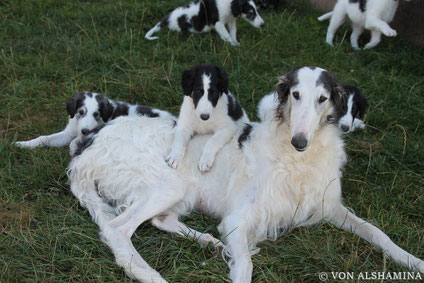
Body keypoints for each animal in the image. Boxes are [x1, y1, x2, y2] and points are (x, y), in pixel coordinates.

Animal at [14, 93, 174, 150]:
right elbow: (45, 138)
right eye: (80, 112)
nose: (85, 131)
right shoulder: (68, 132)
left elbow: (74, 142)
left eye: (96, 114)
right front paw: (23, 144)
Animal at [68, 67, 422, 282]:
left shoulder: (327, 205)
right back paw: (150, 273)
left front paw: (413, 261)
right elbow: (246, 265)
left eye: (323, 98)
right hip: (169, 184)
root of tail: (88, 143)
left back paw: (208, 242)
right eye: (295, 94)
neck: (296, 160)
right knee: (117, 229)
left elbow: (378, 232)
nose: (300, 141)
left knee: (160, 220)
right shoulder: (239, 220)